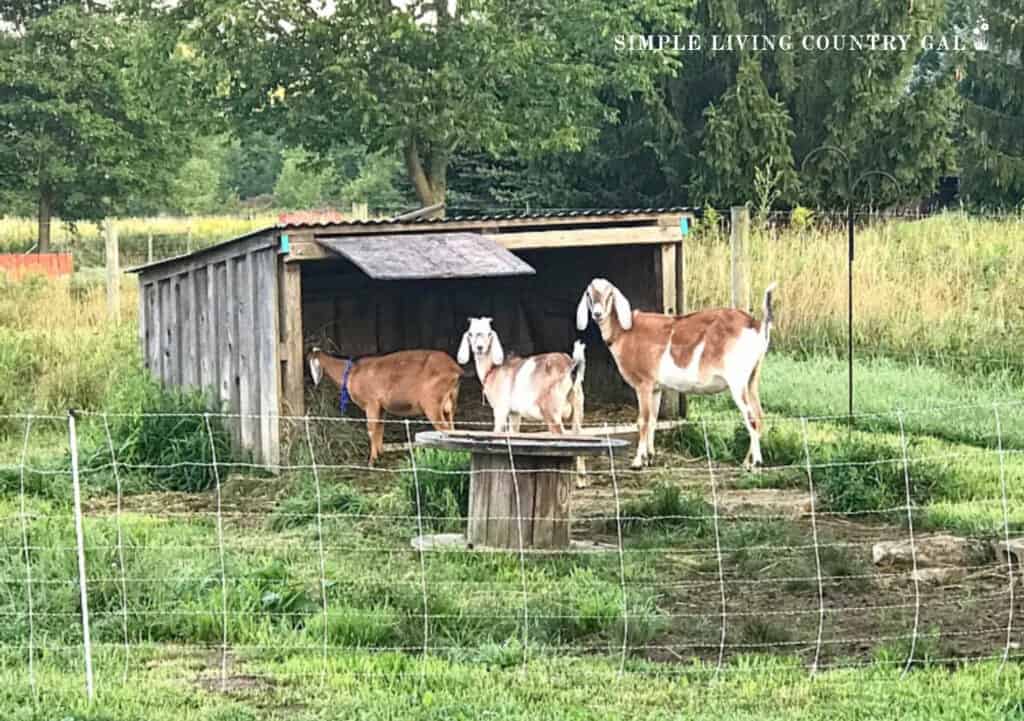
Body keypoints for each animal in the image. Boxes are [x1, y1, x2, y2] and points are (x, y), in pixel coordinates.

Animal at [305, 346, 462, 464]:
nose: (313, 384)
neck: (351, 373)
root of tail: (454, 369)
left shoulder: (371, 403)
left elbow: (371, 429)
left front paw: (371, 461)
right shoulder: (381, 407)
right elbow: (380, 428)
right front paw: (379, 453)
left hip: (432, 404)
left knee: (444, 429)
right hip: (450, 404)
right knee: (452, 430)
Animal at [577, 276, 774, 467]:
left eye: (610, 294)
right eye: (588, 294)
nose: (597, 314)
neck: (625, 332)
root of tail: (756, 325)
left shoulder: (643, 384)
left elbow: (643, 421)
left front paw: (638, 461)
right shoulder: (656, 388)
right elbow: (653, 420)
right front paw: (650, 457)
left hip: (737, 381)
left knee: (751, 418)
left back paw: (755, 463)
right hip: (752, 379)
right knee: (759, 416)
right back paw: (747, 461)